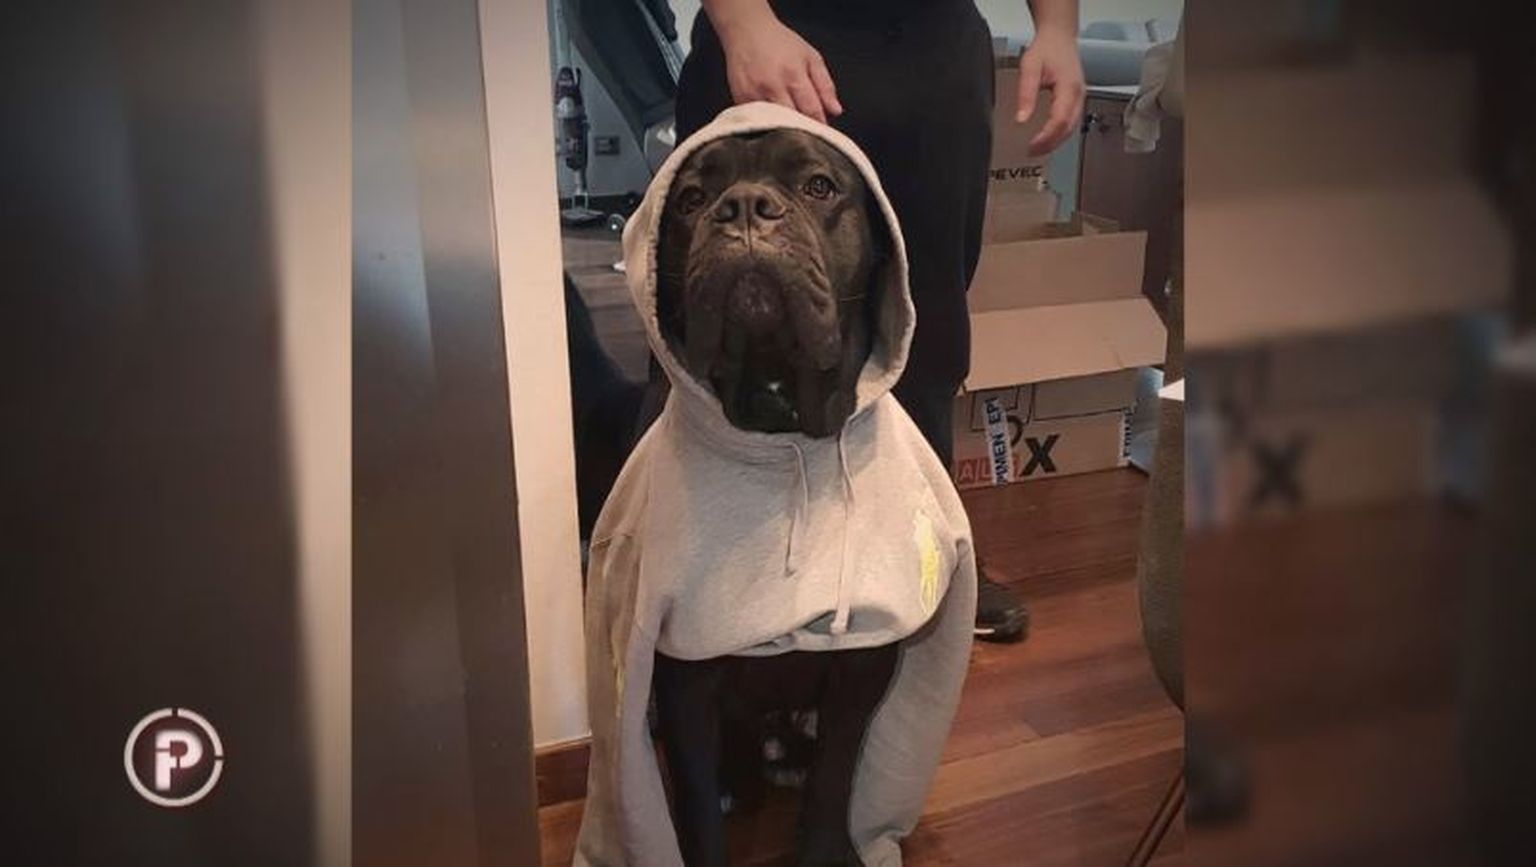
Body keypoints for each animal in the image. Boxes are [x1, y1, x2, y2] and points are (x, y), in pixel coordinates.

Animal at [650, 128, 900, 867]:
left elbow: (834, 777)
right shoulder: (685, 674)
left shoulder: (861, 667)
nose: (744, 208)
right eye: (692, 199)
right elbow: (694, 798)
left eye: (819, 186)